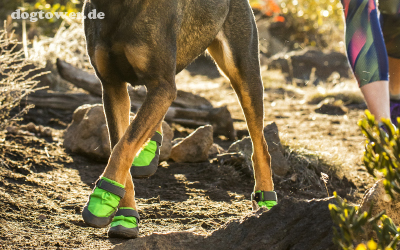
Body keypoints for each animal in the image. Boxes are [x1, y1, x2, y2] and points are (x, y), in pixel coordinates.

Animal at [81, 0, 276, 238]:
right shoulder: (112, 85)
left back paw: (266, 198)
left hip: (244, 72)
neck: (118, 6)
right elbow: (121, 144)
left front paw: (101, 200)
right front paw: (124, 215)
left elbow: (123, 147)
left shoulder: (162, 84)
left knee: (260, 144)